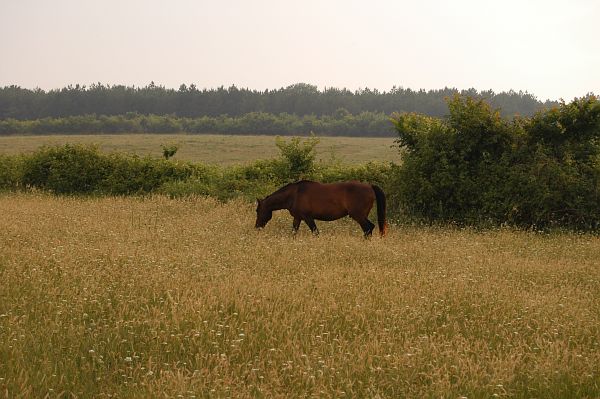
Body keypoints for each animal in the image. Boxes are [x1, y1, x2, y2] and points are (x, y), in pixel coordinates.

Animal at [254, 181, 390, 238]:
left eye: (257, 211)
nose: (257, 227)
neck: (294, 194)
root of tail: (370, 186)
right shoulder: (298, 218)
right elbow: (293, 232)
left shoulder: (308, 218)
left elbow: (315, 232)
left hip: (359, 216)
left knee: (368, 228)